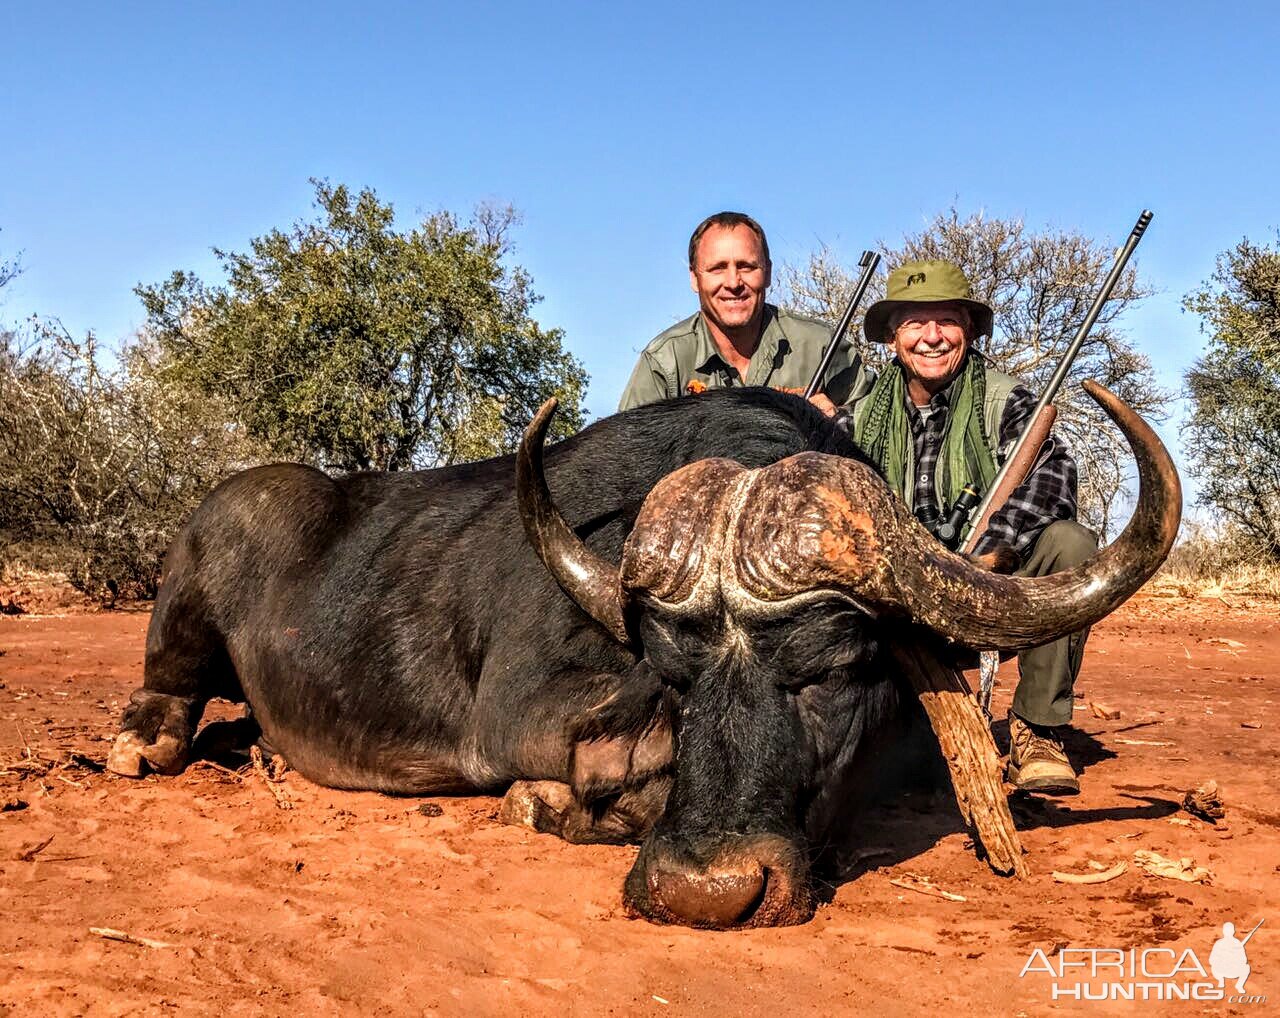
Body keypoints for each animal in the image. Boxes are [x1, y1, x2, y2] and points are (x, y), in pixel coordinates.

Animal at [110, 386, 1177, 927]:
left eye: (829, 672)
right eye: (673, 678)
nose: (704, 894)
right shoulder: (521, 716)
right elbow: (607, 767)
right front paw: (555, 802)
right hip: (186, 607)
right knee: (167, 695)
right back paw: (142, 739)